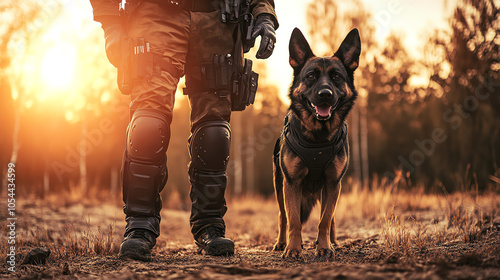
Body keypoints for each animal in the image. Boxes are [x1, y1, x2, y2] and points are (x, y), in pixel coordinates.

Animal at [274, 27, 360, 260]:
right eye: (311, 76)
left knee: (331, 218)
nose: (325, 94)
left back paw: (333, 241)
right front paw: (293, 249)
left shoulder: (333, 183)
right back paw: (281, 243)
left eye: (336, 77)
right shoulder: (291, 183)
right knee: (283, 216)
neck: (317, 139)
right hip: (279, 186)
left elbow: (325, 220)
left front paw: (324, 247)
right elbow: (294, 220)